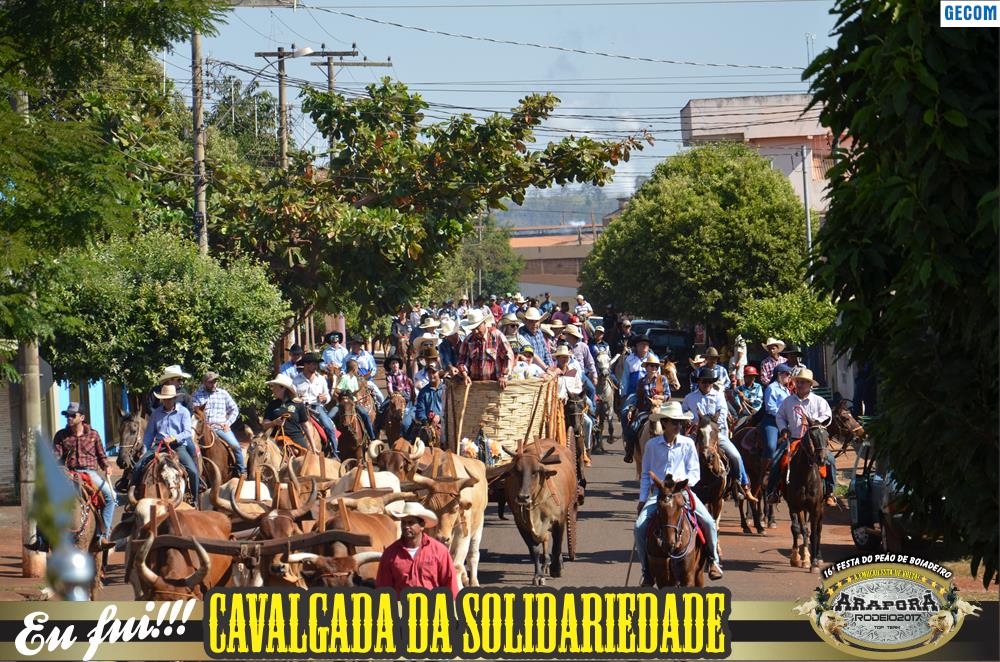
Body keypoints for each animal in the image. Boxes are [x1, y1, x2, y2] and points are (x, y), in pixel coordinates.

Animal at [780, 418, 828, 572]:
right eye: (812, 436)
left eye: (826, 436)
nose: (821, 459)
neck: (806, 476)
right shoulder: (794, 505)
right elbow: (797, 529)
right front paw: (796, 558)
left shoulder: (815, 507)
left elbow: (814, 533)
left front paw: (814, 562)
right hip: (802, 508)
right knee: (804, 529)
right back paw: (805, 557)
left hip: (820, 508)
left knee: (818, 530)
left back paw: (817, 557)